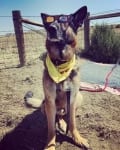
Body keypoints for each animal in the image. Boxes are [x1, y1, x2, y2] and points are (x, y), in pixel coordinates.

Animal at [24, 5, 89, 150]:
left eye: (64, 20)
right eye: (49, 21)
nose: (50, 28)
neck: (60, 62)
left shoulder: (72, 98)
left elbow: (72, 123)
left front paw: (77, 138)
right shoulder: (50, 100)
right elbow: (51, 129)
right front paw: (50, 145)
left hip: (79, 98)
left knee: (66, 115)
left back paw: (64, 123)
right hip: (45, 105)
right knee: (57, 116)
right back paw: (61, 123)